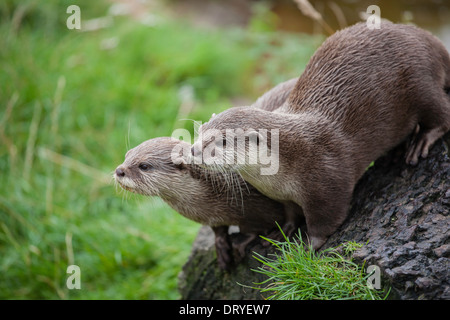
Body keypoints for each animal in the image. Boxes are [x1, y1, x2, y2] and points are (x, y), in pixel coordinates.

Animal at [192, 21, 450, 250]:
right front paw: (281, 232)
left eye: (222, 141)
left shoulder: (327, 178)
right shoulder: (283, 196)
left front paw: (307, 245)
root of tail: (428, 40)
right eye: (201, 130)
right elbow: (291, 214)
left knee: (441, 111)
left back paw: (421, 142)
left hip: (419, 81)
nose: (193, 150)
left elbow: (325, 220)